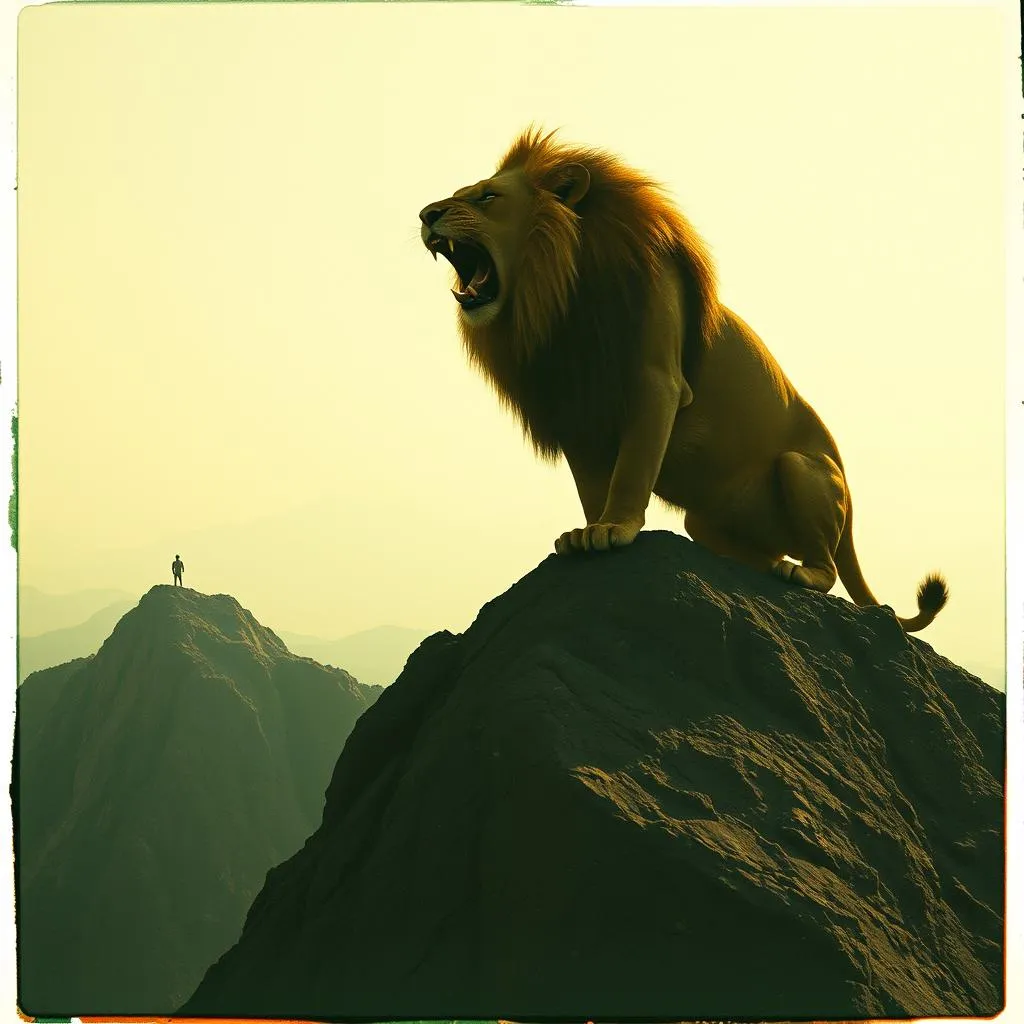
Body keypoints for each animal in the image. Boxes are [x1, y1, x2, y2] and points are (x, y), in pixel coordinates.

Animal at [418, 127, 948, 633]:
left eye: (487, 197)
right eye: (461, 193)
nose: (426, 213)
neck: (560, 293)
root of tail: (851, 507)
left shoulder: (658, 379)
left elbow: (632, 467)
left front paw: (614, 529)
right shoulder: (576, 409)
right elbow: (590, 484)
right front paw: (586, 532)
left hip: (801, 468)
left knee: (828, 568)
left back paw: (802, 573)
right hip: (705, 522)